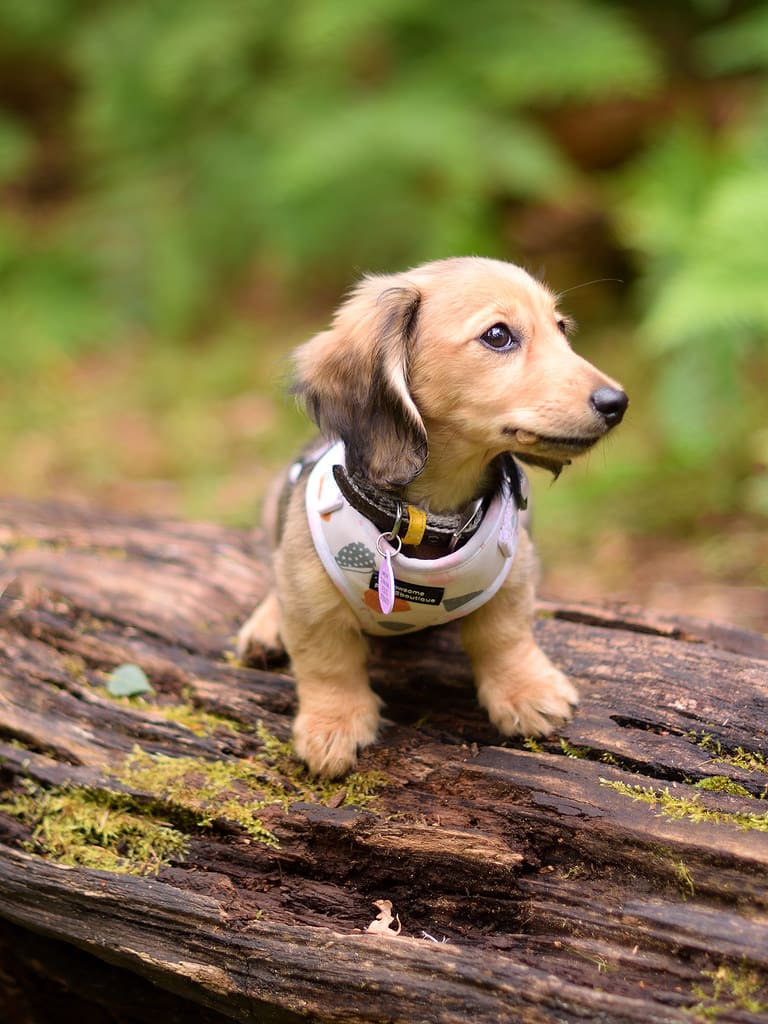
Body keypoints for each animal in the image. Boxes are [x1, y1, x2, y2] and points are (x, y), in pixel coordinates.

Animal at [240, 256, 630, 774]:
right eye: (498, 335)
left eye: (562, 329)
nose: (617, 403)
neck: (431, 517)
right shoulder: (309, 596)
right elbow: (327, 660)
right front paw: (333, 724)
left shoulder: (513, 572)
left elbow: (504, 636)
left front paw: (526, 691)